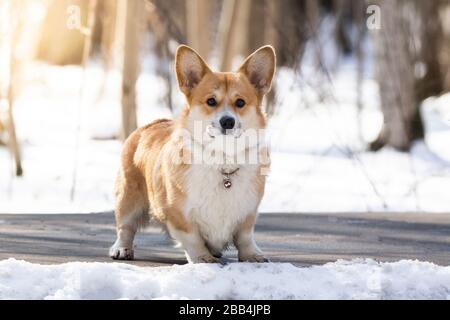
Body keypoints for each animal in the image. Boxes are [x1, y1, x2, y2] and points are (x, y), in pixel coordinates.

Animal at [110, 45, 274, 264]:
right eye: (211, 101)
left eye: (240, 102)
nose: (227, 121)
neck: (221, 160)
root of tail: (151, 123)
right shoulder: (178, 214)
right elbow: (192, 238)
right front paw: (203, 258)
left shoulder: (247, 211)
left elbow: (245, 237)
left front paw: (252, 255)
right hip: (128, 198)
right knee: (125, 227)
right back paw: (121, 249)